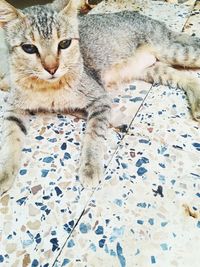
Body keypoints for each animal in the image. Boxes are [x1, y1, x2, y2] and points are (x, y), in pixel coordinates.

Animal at [0, 0, 200, 195]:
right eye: (28, 48)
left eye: (64, 43)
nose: (51, 68)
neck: (48, 88)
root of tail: (145, 17)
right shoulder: (13, 107)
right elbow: (11, 137)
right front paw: (5, 171)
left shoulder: (100, 98)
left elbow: (94, 132)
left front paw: (90, 165)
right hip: (151, 70)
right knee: (185, 77)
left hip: (173, 52)